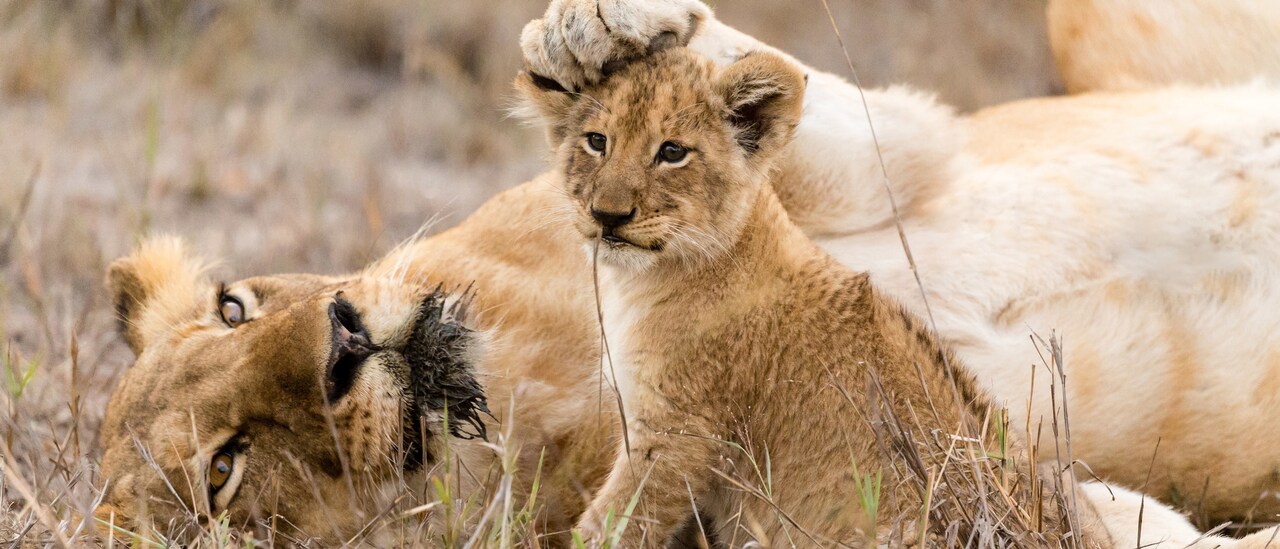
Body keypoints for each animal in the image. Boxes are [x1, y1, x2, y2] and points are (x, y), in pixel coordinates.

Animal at [93, 0, 1280, 544]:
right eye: (224, 470)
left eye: (234, 303)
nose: (342, 336)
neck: (535, 375)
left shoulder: (894, 159)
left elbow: (768, 90)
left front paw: (590, 37)